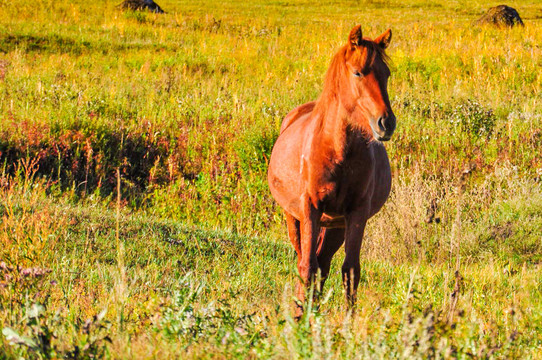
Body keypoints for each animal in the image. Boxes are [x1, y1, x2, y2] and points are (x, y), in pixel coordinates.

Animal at [270, 25, 398, 316]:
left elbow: (350, 271)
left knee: (323, 263)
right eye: (358, 72)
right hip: (294, 218)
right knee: (306, 262)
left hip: (335, 226)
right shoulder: (310, 210)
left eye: (386, 74)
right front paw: (301, 319)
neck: (337, 150)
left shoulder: (356, 213)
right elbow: (307, 267)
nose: (386, 123)